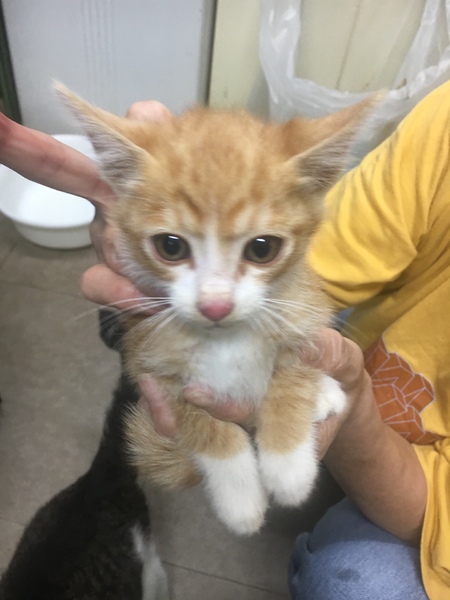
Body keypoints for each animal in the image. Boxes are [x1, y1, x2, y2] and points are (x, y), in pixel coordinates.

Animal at [57, 84, 375, 535]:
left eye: (263, 249)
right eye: (170, 246)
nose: (215, 304)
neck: (225, 337)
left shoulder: (303, 310)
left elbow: (293, 372)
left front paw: (289, 464)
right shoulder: (147, 359)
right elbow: (202, 424)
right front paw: (239, 497)